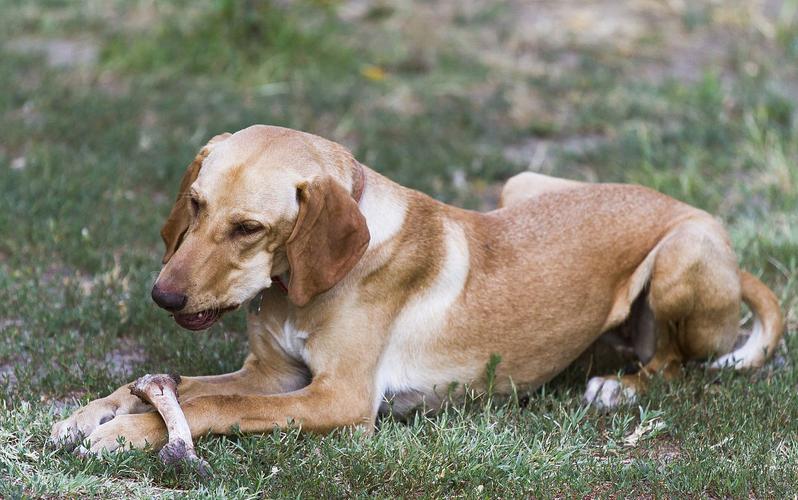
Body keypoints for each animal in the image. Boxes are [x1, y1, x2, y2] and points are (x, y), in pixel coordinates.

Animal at [51, 124, 788, 454]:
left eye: (248, 228)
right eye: (196, 205)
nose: (164, 298)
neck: (297, 287)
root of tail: (687, 207)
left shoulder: (338, 400)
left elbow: (212, 407)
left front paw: (132, 430)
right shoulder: (275, 374)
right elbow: (173, 383)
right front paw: (95, 412)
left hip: (680, 258)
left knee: (675, 362)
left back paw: (621, 387)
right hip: (521, 183)